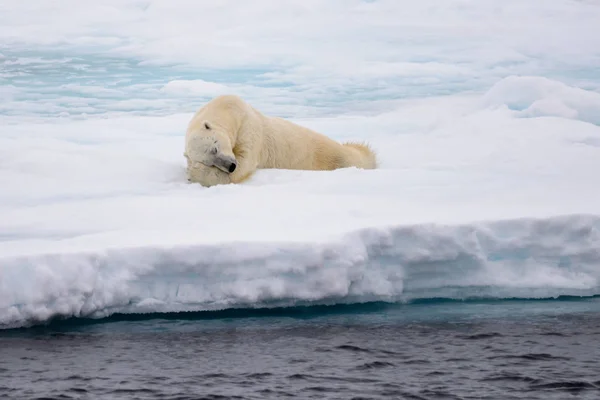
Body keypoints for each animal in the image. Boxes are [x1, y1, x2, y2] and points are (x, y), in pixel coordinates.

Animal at [185, 94, 378, 187]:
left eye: (215, 148)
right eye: (209, 160)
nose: (231, 165)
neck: (225, 110)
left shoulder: (248, 123)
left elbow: (245, 162)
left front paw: (195, 173)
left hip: (326, 153)